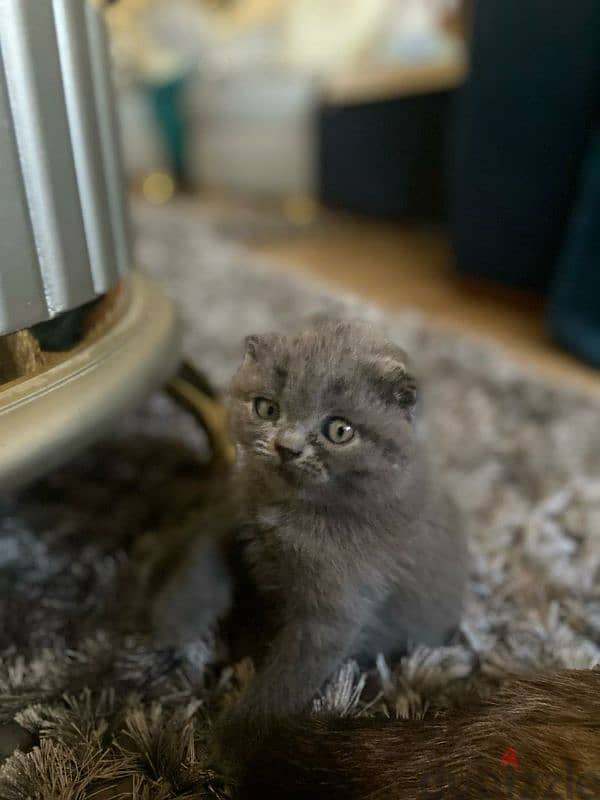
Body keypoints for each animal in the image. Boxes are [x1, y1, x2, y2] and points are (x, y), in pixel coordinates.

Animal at [152, 318, 466, 764]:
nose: (287, 446)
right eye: (266, 408)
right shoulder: (233, 509)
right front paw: (175, 620)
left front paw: (230, 746)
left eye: (339, 430)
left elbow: (284, 681)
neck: (286, 511)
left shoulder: (334, 610)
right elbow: (203, 555)